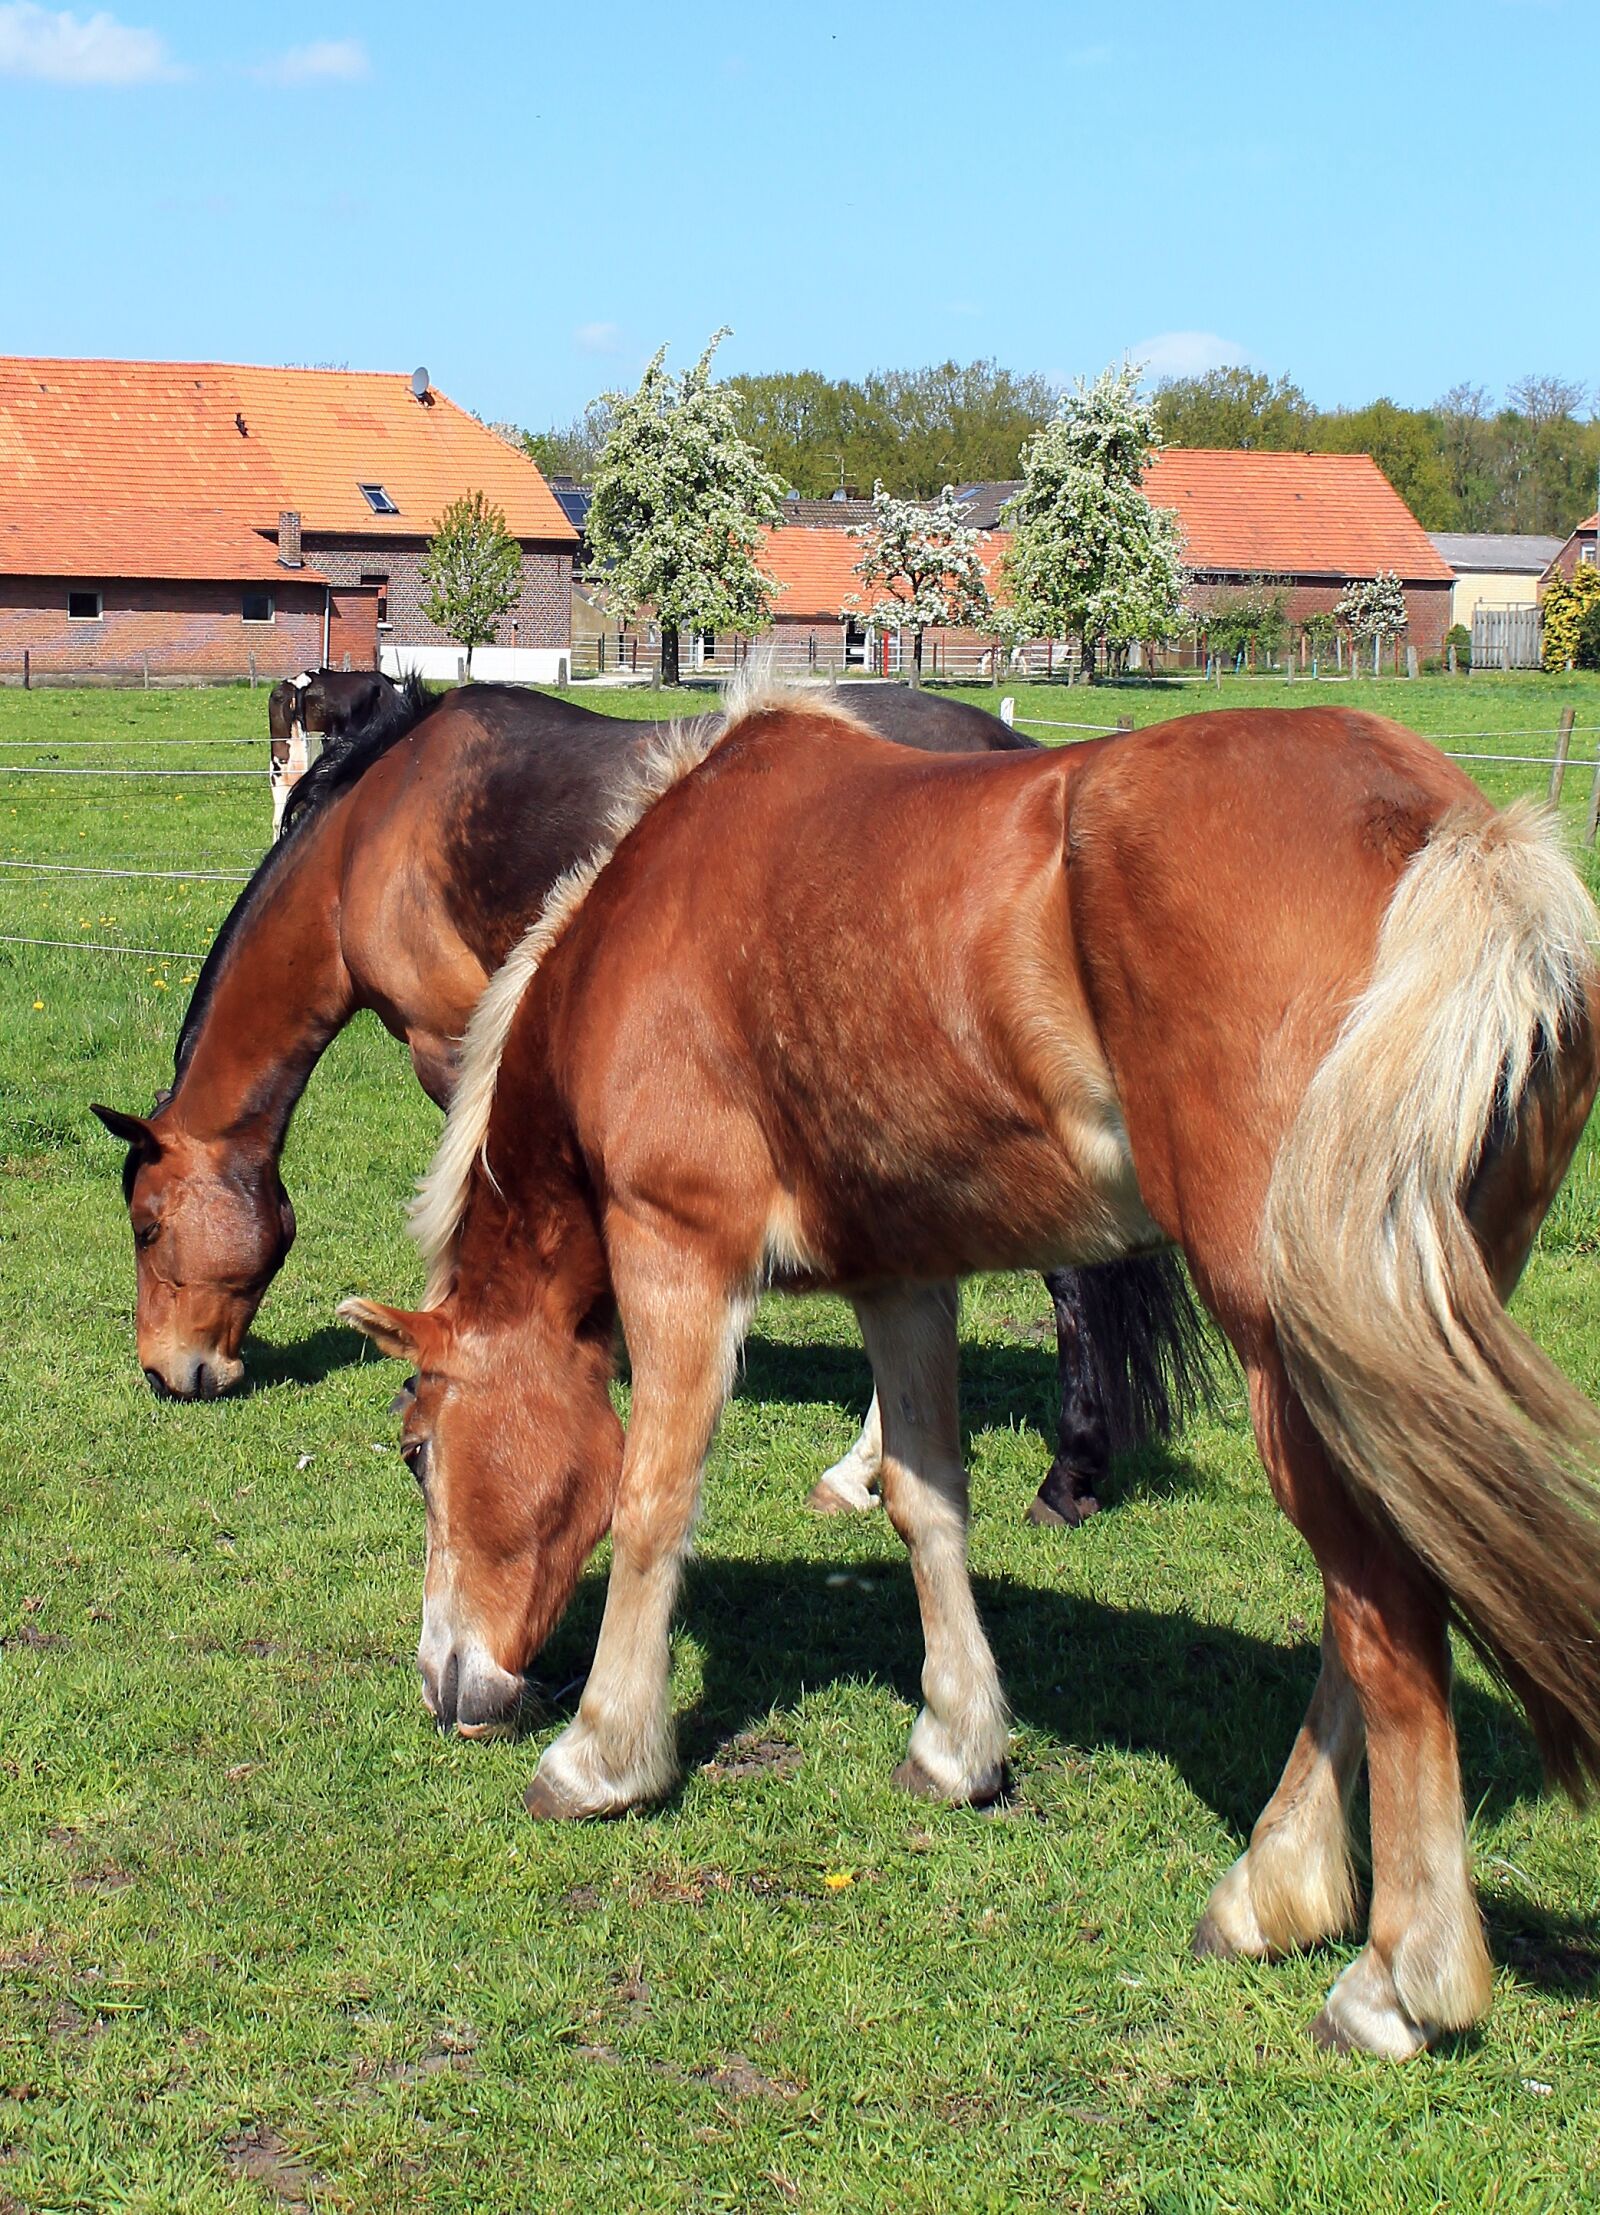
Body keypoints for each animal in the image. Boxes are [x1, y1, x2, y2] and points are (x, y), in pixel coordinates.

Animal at [341, 684, 1600, 2059]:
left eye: (416, 1452)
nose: (443, 1683)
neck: (656, 913)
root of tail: (1457, 834)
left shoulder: (679, 1247)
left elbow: (652, 1506)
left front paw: (601, 1756)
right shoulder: (902, 1275)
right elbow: (923, 1496)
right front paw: (956, 1741)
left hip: (1300, 1348)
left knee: (1384, 1611)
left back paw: (1395, 1975)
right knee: (1364, 1606)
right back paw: (1273, 1889)